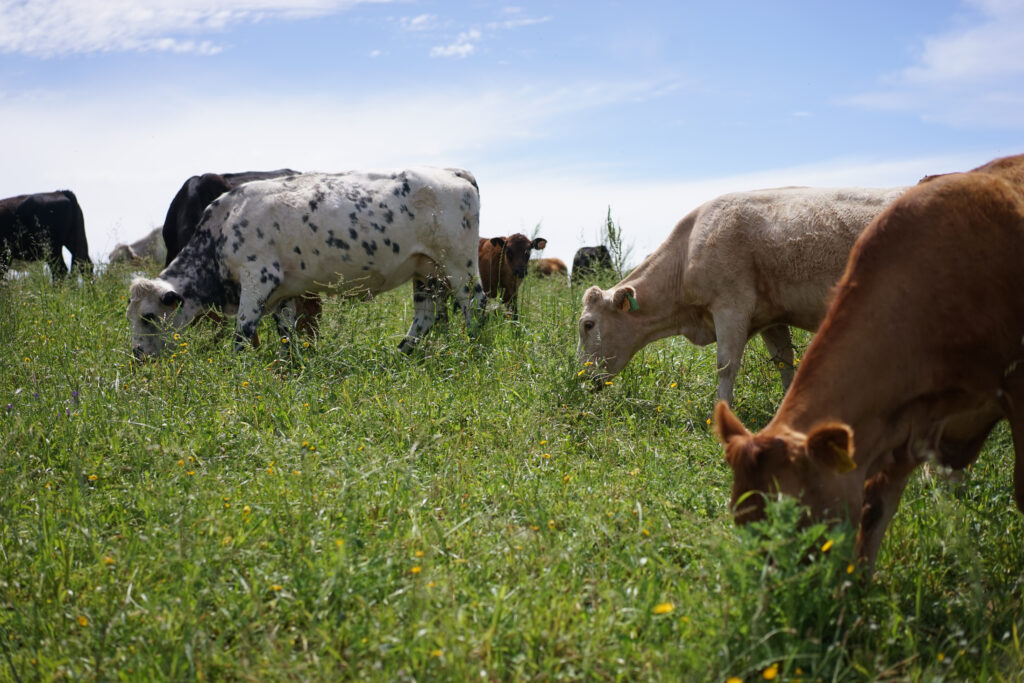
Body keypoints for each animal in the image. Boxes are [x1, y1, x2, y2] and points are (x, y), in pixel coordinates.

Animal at [127, 167, 486, 360]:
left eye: (148, 316)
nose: (138, 355)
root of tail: (453, 172)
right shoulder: (283, 291)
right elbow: (286, 331)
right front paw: (291, 363)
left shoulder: (257, 278)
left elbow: (243, 331)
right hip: (425, 270)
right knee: (424, 317)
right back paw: (399, 354)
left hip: (460, 264)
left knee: (475, 305)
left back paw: (473, 350)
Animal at [576, 186, 906, 403]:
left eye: (587, 325)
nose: (577, 378)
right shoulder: (773, 316)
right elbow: (785, 361)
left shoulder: (731, 306)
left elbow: (725, 364)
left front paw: (720, 412)